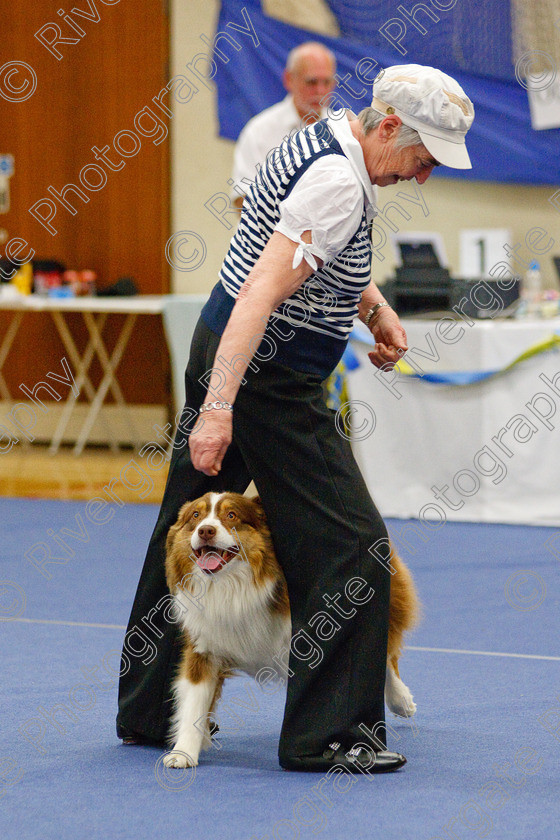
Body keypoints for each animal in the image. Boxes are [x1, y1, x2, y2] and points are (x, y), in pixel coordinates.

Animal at [161, 488, 416, 772]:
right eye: (196, 515)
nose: (206, 530)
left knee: (385, 652)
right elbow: (194, 702)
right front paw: (183, 751)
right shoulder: (203, 646)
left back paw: (401, 700)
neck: (230, 587)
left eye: (232, 515)